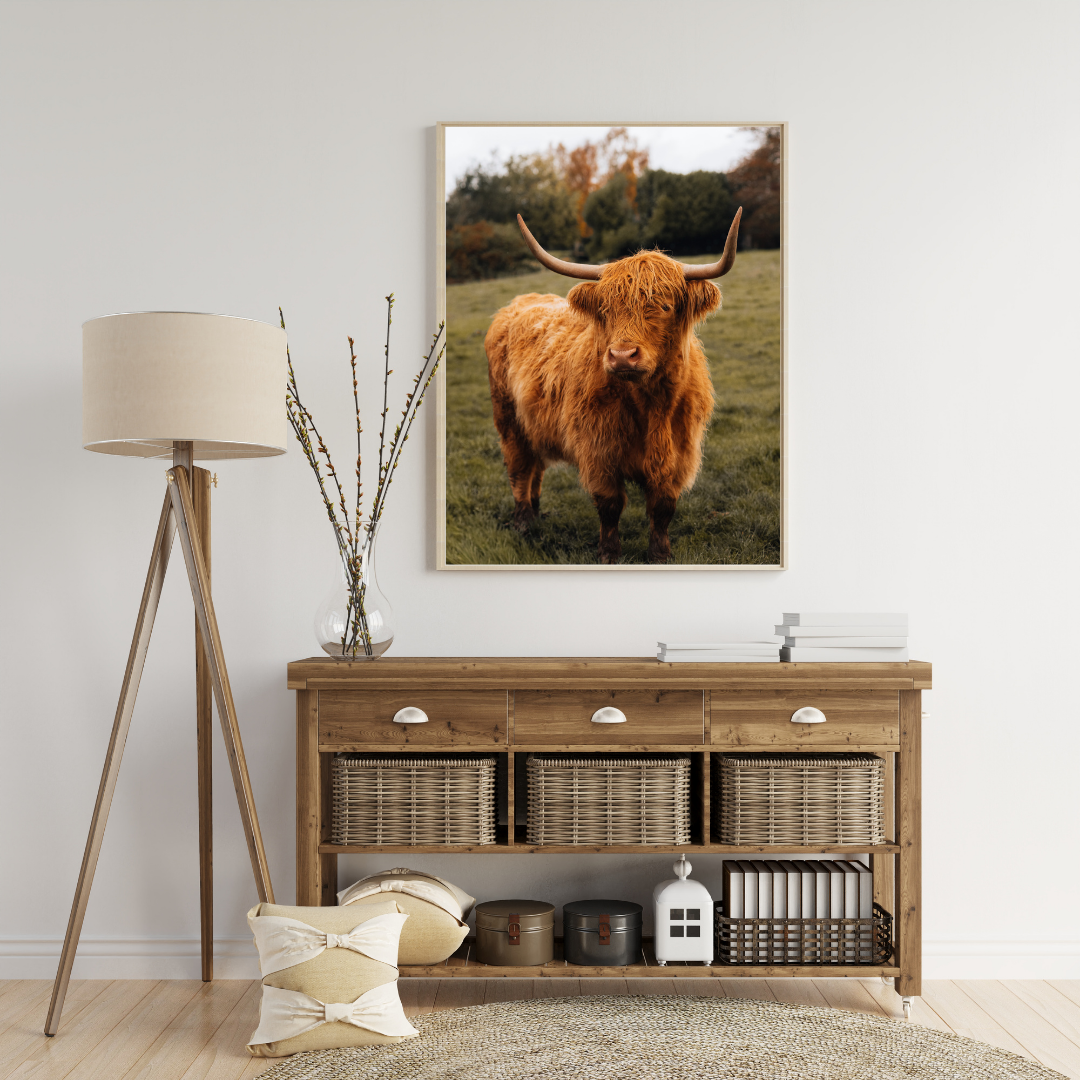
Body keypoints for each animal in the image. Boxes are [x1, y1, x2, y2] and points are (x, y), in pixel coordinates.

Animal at [484, 208, 741, 564]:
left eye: (664, 306)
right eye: (606, 310)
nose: (622, 356)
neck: (650, 405)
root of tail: (522, 301)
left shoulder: (678, 455)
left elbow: (663, 508)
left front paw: (660, 554)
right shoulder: (599, 453)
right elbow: (609, 505)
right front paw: (608, 553)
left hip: (534, 423)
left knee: (535, 466)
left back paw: (536, 512)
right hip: (507, 418)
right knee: (519, 466)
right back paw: (523, 521)